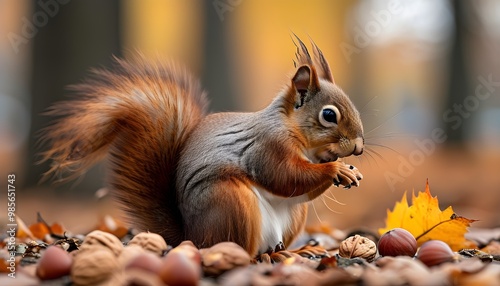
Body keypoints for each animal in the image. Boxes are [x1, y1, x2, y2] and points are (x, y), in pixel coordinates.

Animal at [42, 36, 364, 256]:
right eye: (329, 115)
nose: (359, 147)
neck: (294, 131)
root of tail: (191, 238)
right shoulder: (267, 146)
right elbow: (284, 177)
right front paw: (336, 169)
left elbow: (297, 187)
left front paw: (346, 170)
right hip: (229, 201)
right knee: (240, 248)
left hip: (291, 217)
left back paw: (297, 251)